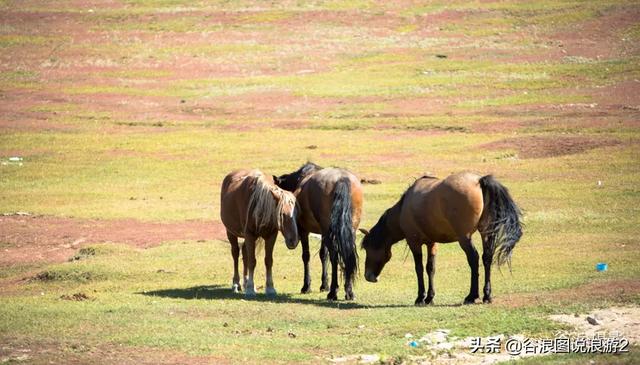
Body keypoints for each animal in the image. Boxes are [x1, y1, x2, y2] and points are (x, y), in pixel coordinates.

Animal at [220, 169, 300, 298]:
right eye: (282, 215)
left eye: (297, 214)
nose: (294, 241)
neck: (259, 204)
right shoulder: (249, 235)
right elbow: (252, 261)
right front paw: (250, 289)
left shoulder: (271, 236)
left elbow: (268, 261)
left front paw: (270, 288)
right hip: (231, 232)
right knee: (236, 254)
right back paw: (236, 284)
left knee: (245, 253)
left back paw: (245, 281)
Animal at [360, 172, 520, 306]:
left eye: (368, 249)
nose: (368, 276)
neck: (403, 208)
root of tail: (479, 181)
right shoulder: (432, 243)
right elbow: (430, 268)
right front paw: (429, 298)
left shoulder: (414, 242)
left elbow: (418, 268)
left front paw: (420, 297)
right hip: (486, 233)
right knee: (487, 257)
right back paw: (487, 295)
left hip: (465, 237)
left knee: (474, 259)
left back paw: (471, 296)